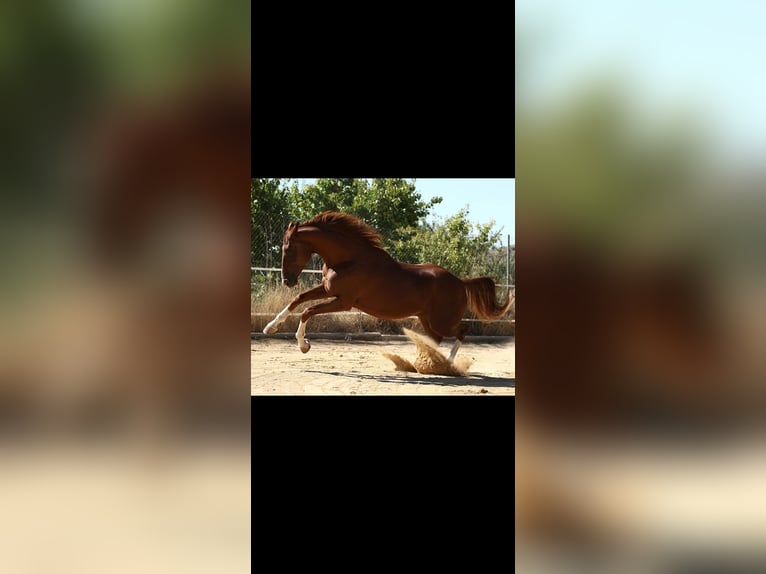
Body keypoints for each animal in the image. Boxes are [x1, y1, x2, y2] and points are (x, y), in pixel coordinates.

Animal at [264, 212, 516, 362]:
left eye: (288, 248)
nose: (287, 281)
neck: (349, 259)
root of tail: (461, 283)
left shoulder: (343, 301)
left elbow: (307, 311)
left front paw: (304, 346)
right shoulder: (327, 290)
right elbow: (298, 299)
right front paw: (270, 328)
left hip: (442, 321)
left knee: (462, 331)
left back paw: (446, 364)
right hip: (427, 319)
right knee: (437, 339)